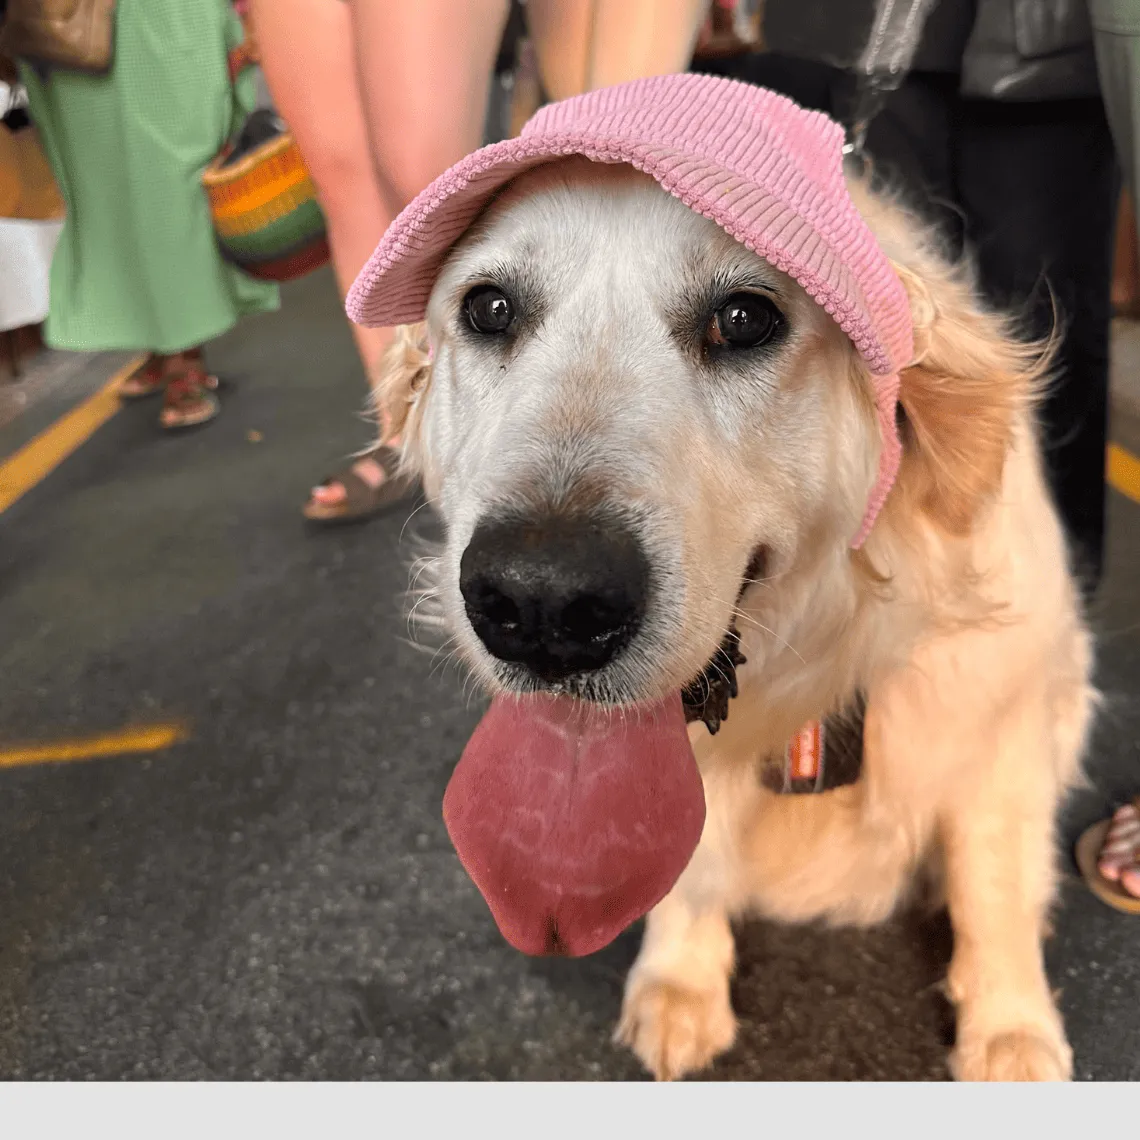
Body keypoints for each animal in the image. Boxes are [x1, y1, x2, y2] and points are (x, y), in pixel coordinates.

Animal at [360, 131, 1089, 1076]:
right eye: (488, 309)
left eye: (744, 320)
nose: (542, 604)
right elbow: (690, 864)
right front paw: (680, 983)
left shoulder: (1002, 732)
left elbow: (992, 887)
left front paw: (1011, 1032)